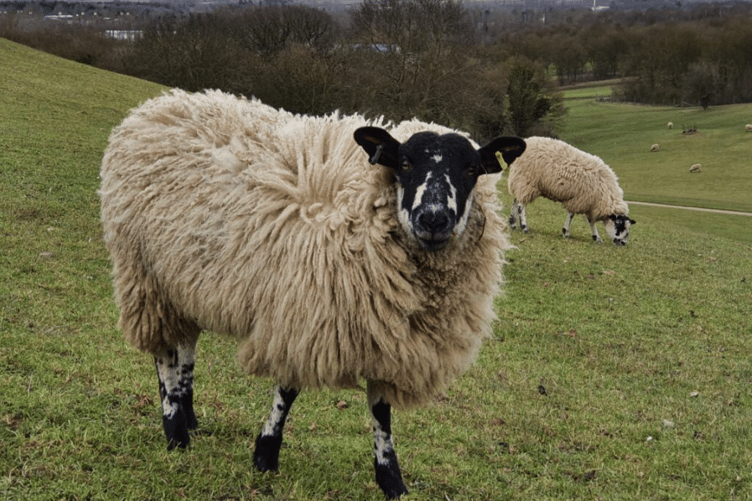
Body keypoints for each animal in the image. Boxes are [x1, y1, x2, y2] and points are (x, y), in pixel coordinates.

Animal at [99, 89, 526, 499]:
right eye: (404, 164)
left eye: (471, 169)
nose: (434, 219)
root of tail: (157, 105)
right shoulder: (306, 311)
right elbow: (287, 391)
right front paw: (265, 454)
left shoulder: (388, 333)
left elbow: (381, 410)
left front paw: (391, 478)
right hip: (145, 274)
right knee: (163, 353)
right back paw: (175, 428)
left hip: (185, 278)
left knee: (185, 345)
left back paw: (188, 415)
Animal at [507, 136, 635, 245]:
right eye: (619, 226)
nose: (623, 243)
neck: (606, 192)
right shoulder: (582, 200)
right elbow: (578, 217)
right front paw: (567, 232)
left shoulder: (588, 203)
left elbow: (587, 220)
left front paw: (595, 237)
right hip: (526, 180)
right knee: (521, 204)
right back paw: (524, 226)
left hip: (520, 181)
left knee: (516, 200)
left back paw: (513, 223)